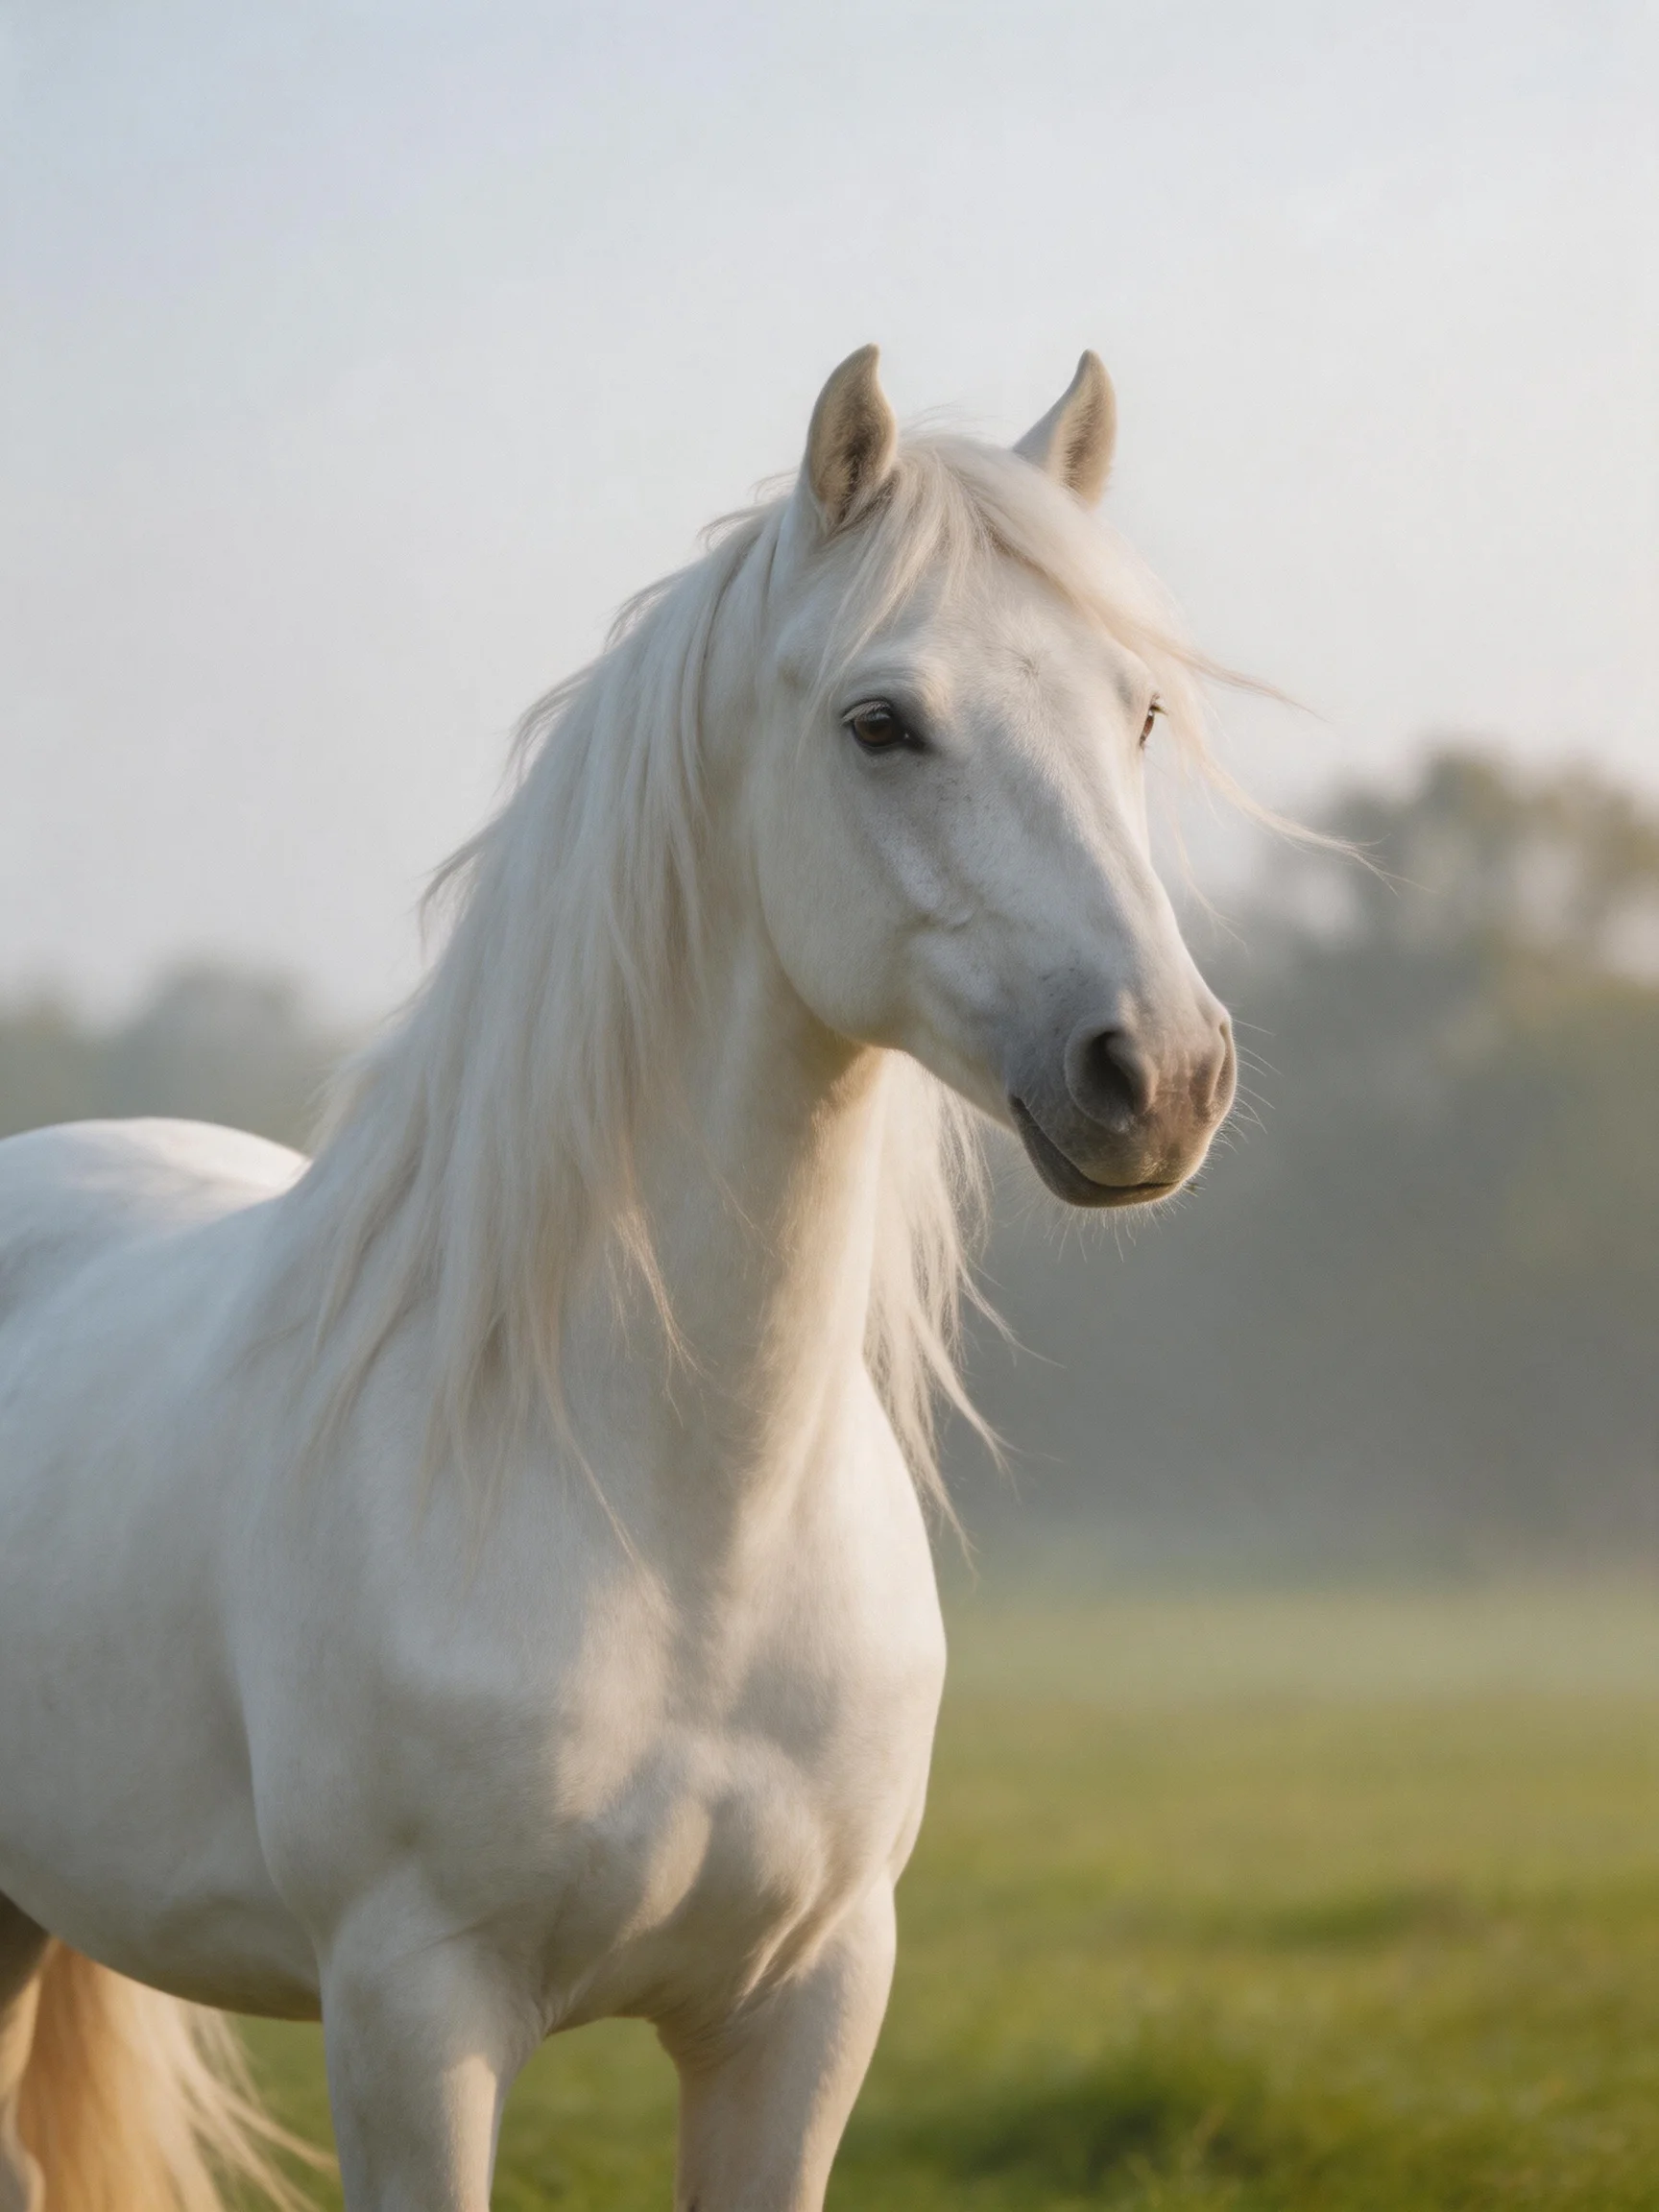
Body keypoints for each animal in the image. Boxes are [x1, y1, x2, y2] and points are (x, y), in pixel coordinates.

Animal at [0, 346, 1236, 2211]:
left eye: (1140, 712)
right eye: (880, 722)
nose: (1157, 1074)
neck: (669, 1517)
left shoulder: (803, 2006)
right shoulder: (411, 2014)